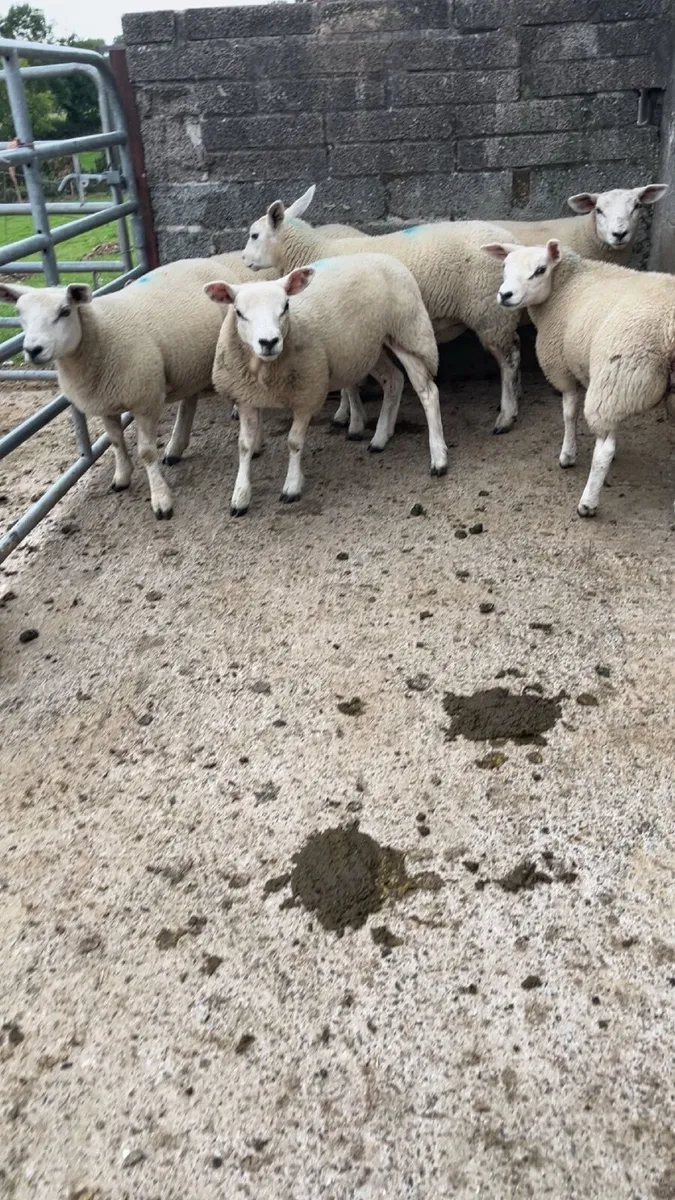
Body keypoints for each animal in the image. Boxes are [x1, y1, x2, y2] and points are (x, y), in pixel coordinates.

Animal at [0, 253, 279, 520]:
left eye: (65, 311)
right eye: (19, 314)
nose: (33, 350)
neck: (101, 334)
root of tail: (208, 262)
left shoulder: (144, 401)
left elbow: (145, 452)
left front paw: (161, 500)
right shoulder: (105, 401)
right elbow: (115, 441)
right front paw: (122, 477)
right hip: (188, 364)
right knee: (189, 401)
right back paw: (176, 447)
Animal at [204, 254, 448, 515]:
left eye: (285, 307)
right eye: (239, 312)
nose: (269, 342)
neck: (266, 370)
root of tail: (382, 255)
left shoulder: (307, 394)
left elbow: (294, 442)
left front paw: (292, 486)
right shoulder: (246, 397)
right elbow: (244, 446)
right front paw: (240, 496)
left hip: (407, 332)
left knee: (427, 392)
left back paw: (438, 458)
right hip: (369, 346)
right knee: (393, 380)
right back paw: (380, 438)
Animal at [242, 184, 524, 435]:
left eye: (254, 235)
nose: (244, 260)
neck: (311, 252)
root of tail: (512, 243)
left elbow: (350, 384)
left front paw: (352, 419)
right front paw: (347, 413)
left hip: (490, 313)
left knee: (508, 360)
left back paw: (506, 416)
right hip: (497, 314)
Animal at [482, 237, 675, 518]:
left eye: (540, 270)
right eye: (504, 266)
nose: (505, 295)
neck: (566, 285)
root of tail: (670, 329)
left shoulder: (562, 368)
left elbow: (569, 413)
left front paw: (567, 455)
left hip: (614, 378)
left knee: (604, 448)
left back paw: (587, 502)